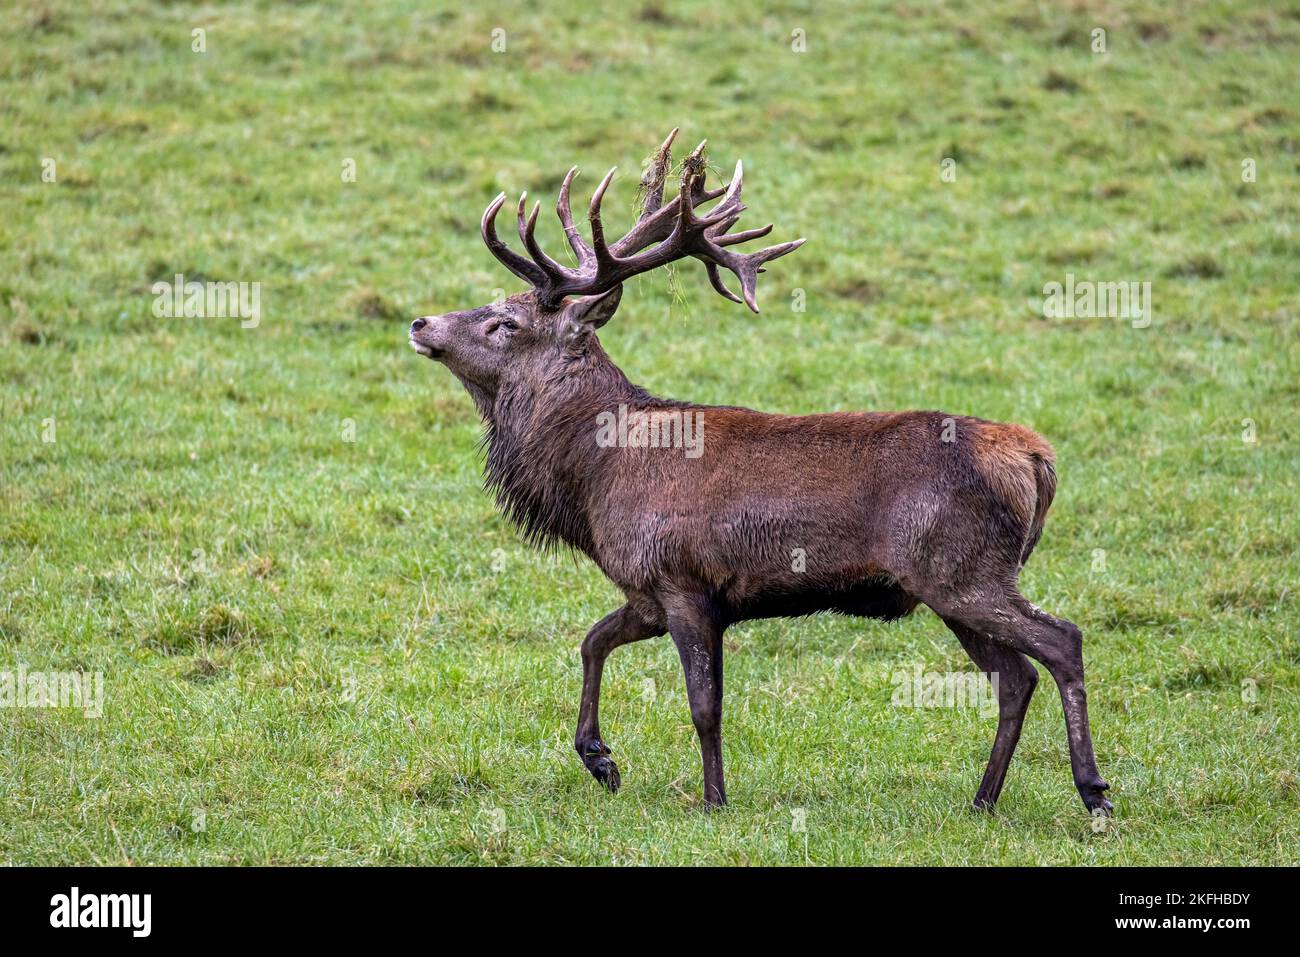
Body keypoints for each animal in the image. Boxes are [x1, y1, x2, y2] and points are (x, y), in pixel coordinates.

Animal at [410, 127, 1112, 816]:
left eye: (505, 322)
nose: (420, 322)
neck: (593, 480)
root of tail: (1035, 458)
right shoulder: (647, 591)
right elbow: (591, 640)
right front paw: (600, 760)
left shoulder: (682, 580)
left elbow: (704, 706)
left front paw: (713, 801)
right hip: (953, 583)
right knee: (1014, 677)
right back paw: (983, 800)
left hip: (963, 570)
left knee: (1061, 642)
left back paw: (1093, 792)